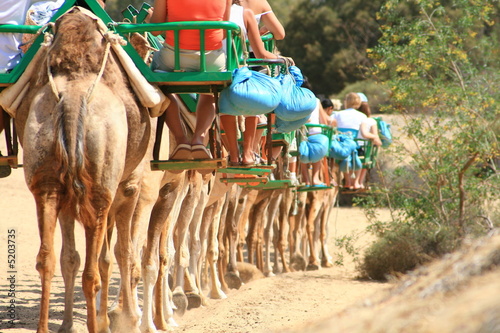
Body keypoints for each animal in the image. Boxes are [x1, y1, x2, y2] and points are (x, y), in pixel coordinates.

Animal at [8, 7, 151, 332]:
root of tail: (72, 99)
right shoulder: (129, 184)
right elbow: (121, 253)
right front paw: (126, 318)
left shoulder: (68, 196)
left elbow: (71, 257)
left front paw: (70, 324)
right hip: (99, 188)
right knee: (94, 269)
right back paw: (99, 323)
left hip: (47, 180)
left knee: (47, 258)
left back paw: (45, 327)